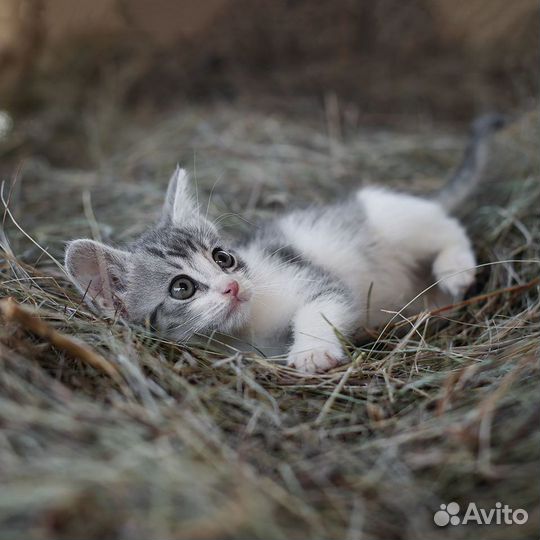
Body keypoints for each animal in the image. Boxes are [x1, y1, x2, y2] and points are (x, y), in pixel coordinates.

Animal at [65, 116, 504, 374]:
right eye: (182, 288)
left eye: (223, 258)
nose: (233, 286)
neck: (249, 328)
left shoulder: (310, 277)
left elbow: (319, 306)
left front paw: (311, 352)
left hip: (390, 217)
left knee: (445, 225)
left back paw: (455, 268)